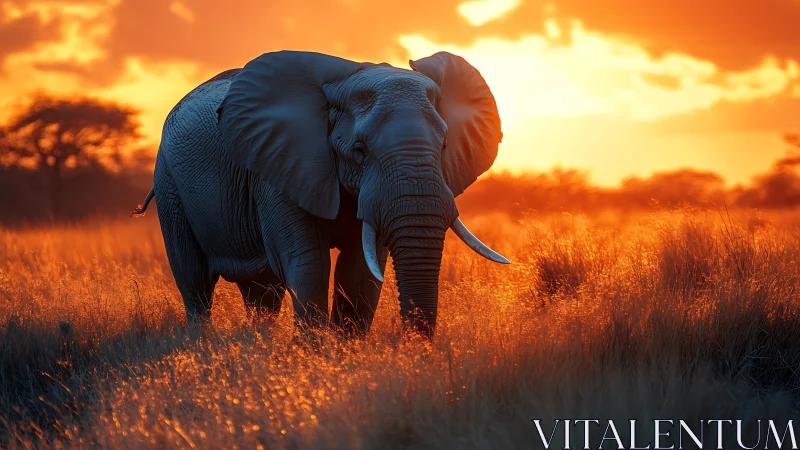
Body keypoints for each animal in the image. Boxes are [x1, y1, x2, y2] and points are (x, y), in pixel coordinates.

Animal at [132, 50, 509, 339]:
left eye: (444, 145)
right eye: (359, 150)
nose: (414, 352)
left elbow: (359, 269)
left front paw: (344, 357)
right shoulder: (278, 166)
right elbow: (309, 263)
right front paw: (314, 360)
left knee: (262, 293)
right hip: (169, 184)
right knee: (194, 281)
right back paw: (205, 344)